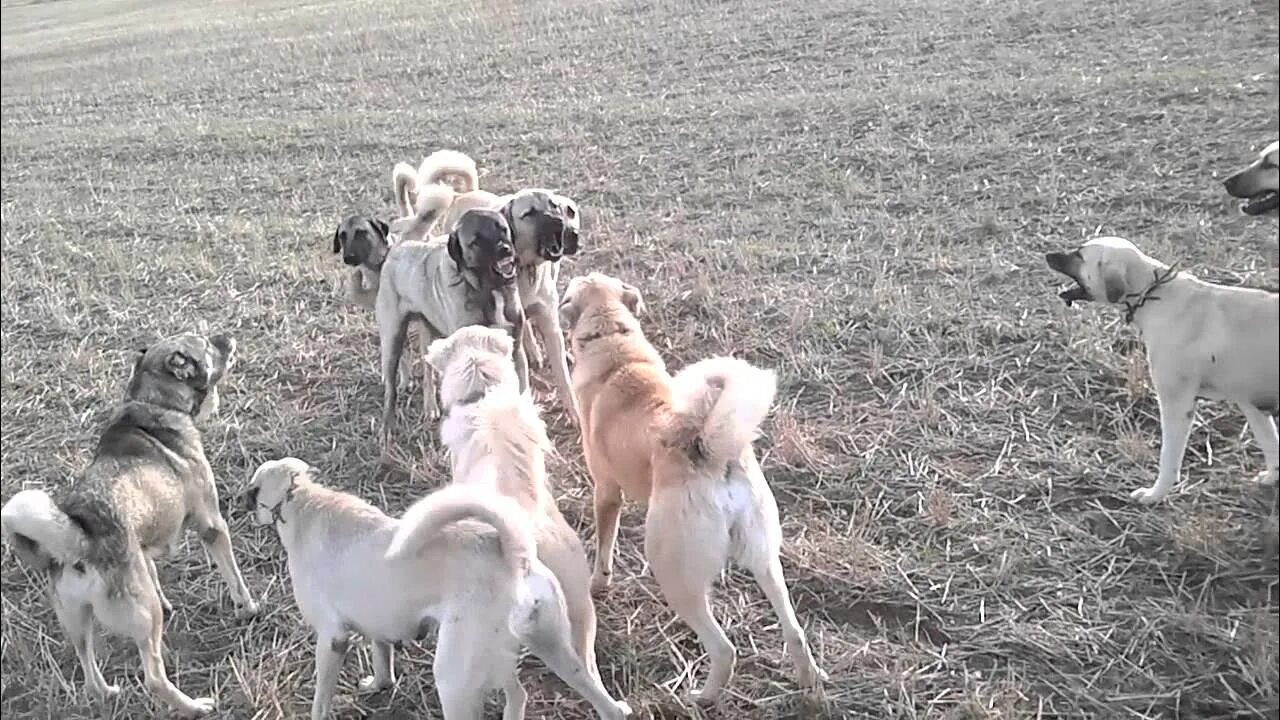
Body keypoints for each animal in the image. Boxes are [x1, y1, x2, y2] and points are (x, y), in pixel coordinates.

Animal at [0, 330, 259, 712]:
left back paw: (107, 693)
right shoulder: (212, 525)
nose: (227, 336)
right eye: (205, 344)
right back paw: (195, 706)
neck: (154, 403)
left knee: (88, 669)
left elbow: (154, 573)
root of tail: (79, 540)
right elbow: (234, 575)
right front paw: (249, 608)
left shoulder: (144, 549)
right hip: (146, 621)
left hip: (79, 623)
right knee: (154, 678)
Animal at [373, 204, 529, 445]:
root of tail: (401, 246)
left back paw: (430, 406)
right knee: (391, 390)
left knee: (428, 370)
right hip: (392, 341)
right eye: (476, 241)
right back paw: (387, 428)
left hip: (430, 334)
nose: (504, 250)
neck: (489, 289)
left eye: (502, 229)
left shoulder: (516, 349)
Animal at [560, 270, 829, 702]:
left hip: (674, 572)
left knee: (724, 648)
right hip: (765, 559)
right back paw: (810, 681)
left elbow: (604, 546)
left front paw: (599, 584)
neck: (616, 345)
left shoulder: (606, 491)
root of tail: (708, 449)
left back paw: (701, 697)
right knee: (794, 630)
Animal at [1044, 234, 1274, 499]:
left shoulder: (1177, 404)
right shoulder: (1252, 403)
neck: (1153, 293)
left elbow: (1169, 458)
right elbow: (1271, 443)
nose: (1048, 255)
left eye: (1080, 255)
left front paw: (1155, 494)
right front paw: (1272, 476)